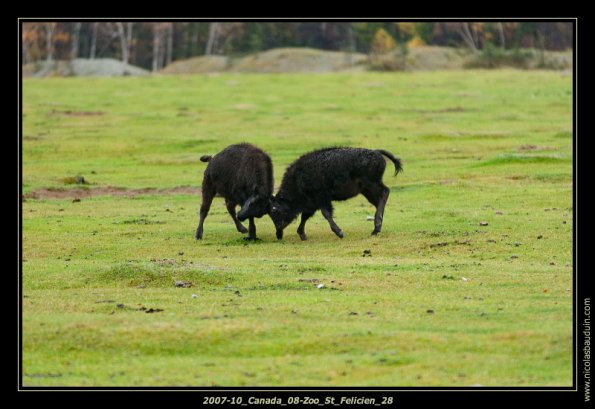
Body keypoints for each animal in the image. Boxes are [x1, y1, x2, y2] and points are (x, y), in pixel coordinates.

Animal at [256, 147, 400, 239]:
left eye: (274, 210)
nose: (278, 233)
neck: (299, 178)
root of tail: (376, 152)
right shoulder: (312, 204)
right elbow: (305, 216)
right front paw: (302, 235)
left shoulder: (322, 199)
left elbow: (326, 214)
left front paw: (340, 233)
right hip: (366, 190)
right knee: (380, 199)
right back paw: (375, 229)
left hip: (371, 185)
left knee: (384, 193)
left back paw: (376, 226)